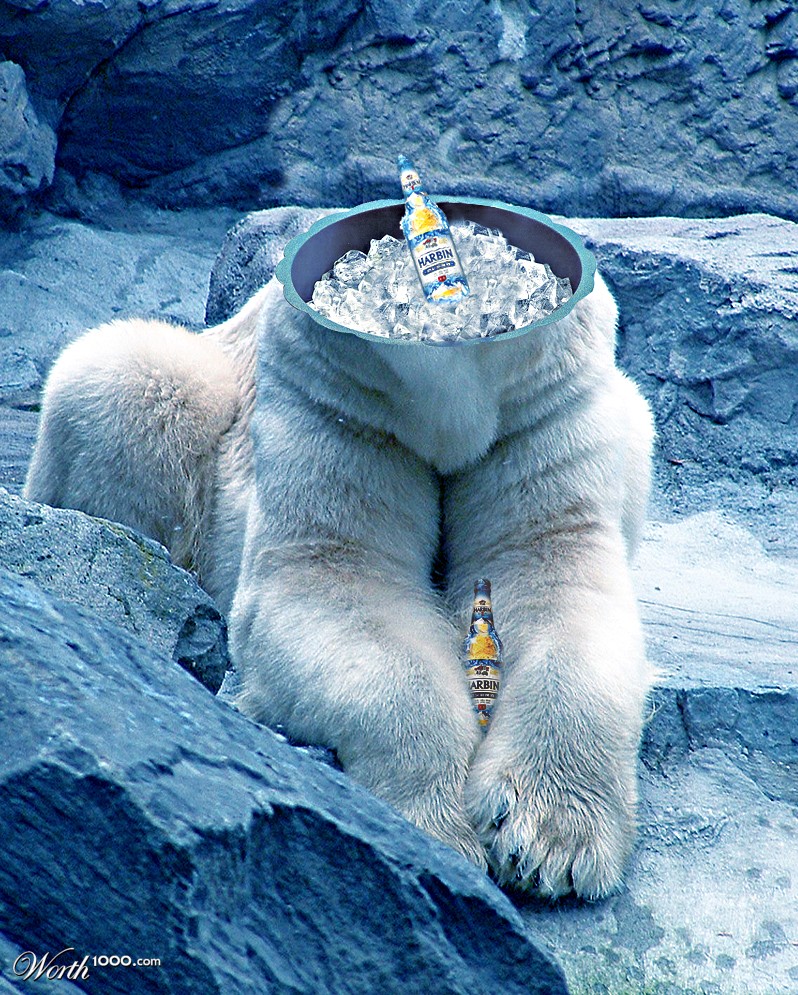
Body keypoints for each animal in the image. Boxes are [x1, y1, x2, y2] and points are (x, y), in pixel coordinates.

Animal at [25, 246, 654, 901]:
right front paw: (442, 827)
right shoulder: (335, 395)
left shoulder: (543, 398)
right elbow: (337, 578)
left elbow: (547, 569)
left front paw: (549, 841)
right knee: (131, 374)